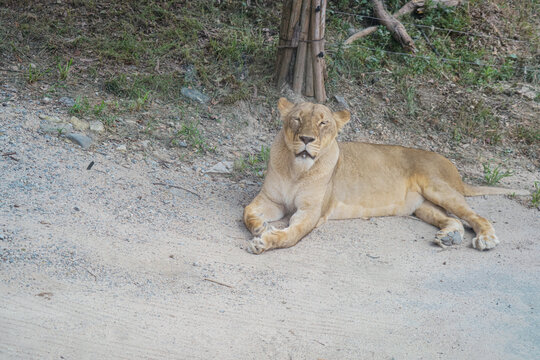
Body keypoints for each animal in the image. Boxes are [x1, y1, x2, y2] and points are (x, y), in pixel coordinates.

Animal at [243, 97, 524, 256]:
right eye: (296, 119)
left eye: (323, 123)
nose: (306, 139)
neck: (296, 170)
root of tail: (452, 166)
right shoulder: (271, 200)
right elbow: (247, 212)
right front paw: (260, 226)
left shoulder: (311, 212)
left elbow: (291, 235)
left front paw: (265, 241)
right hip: (422, 206)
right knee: (452, 219)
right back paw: (449, 237)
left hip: (438, 189)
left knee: (477, 216)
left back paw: (486, 239)